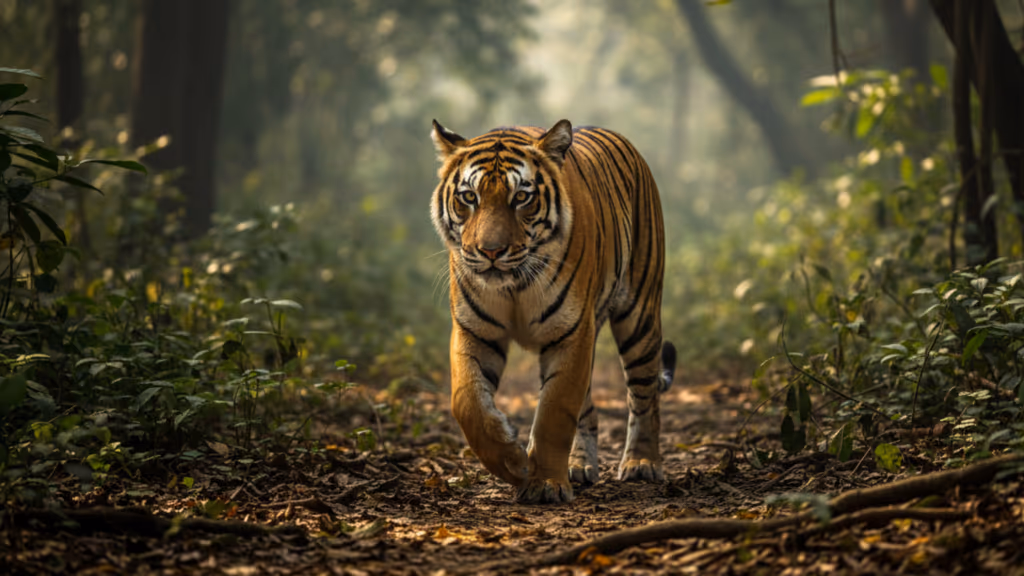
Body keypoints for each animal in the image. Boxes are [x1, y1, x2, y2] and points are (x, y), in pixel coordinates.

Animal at [429, 119, 676, 504]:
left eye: (521, 197)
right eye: (469, 197)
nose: (491, 251)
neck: (514, 286)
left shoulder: (571, 332)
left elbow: (555, 411)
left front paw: (544, 483)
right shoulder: (475, 330)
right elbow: (467, 402)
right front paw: (512, 460)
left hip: (640, 315)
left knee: (644, 394)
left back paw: (642, 463)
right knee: (589, 408)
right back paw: (579, 465)